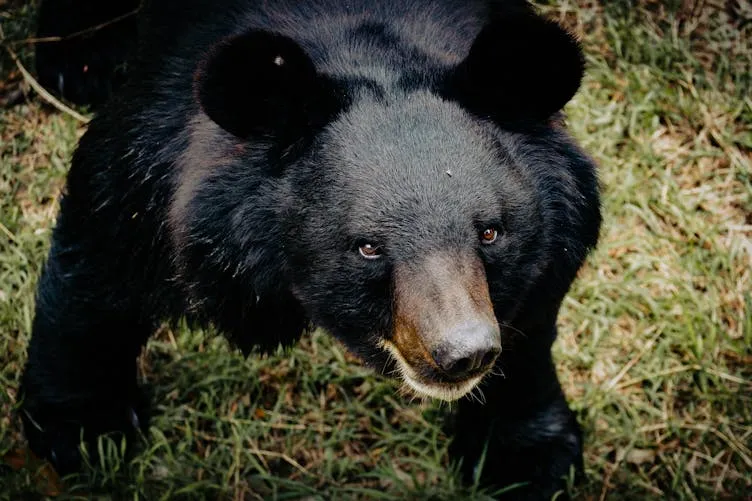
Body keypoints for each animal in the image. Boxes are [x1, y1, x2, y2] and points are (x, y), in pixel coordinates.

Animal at [21, 0, 601, 499]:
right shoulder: (156, 157)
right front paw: (83, 431)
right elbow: (101, 261)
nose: (464, 354)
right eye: (367, 247)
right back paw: (82, 61)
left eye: (490, 232)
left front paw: (527, 460)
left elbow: (532, 315)